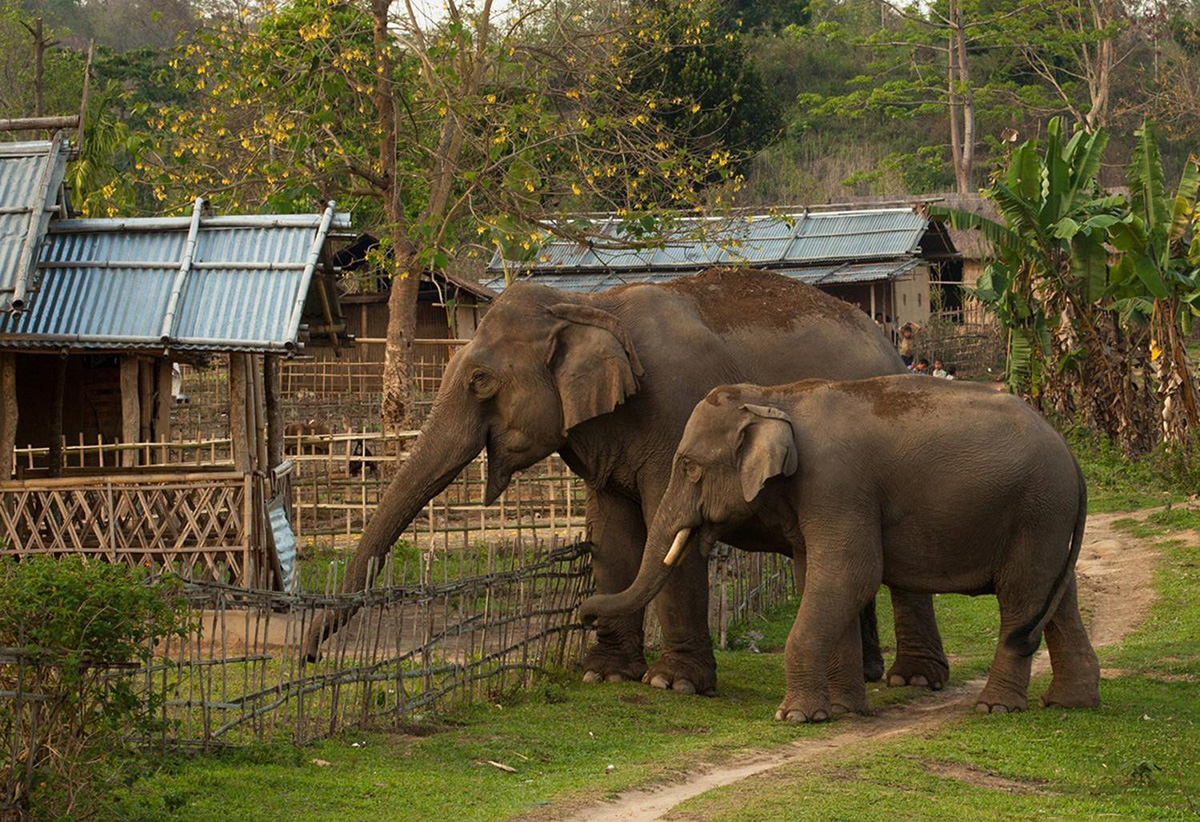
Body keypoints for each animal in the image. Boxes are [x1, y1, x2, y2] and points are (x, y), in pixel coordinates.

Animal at [304, 267, 950, 691]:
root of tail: (889, 343)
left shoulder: (680, 411)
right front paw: (605, 674)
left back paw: (913, 681)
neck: (589, 304)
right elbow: (613, 534)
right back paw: (869, 674)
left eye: (481, 381)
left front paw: (672, 685)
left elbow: (671, 537)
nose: (310, 655)